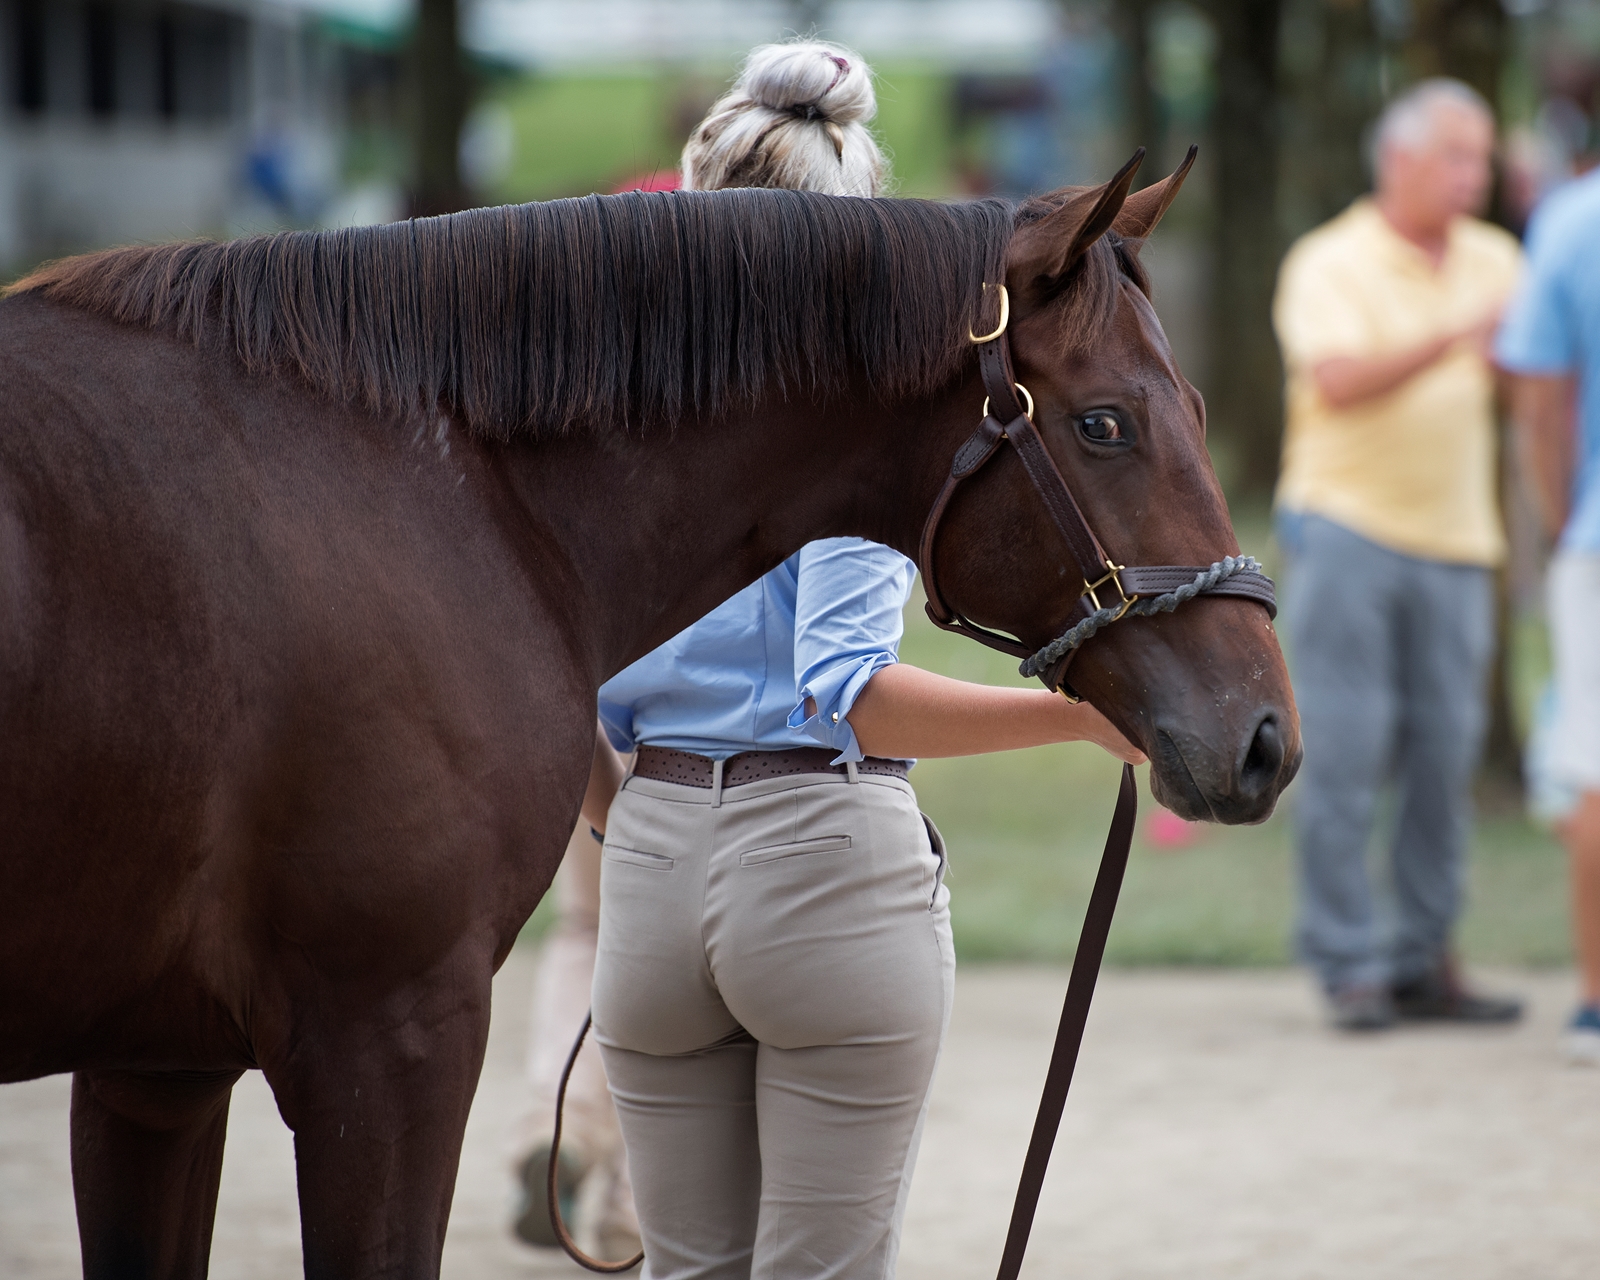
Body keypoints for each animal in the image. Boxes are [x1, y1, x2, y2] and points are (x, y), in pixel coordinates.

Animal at [0, 151, 1298, 1278]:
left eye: (1191, 406)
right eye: (1105, 422)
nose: (1266, 736)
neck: (437, 480)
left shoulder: (156, 1071)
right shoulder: (387, 1029)